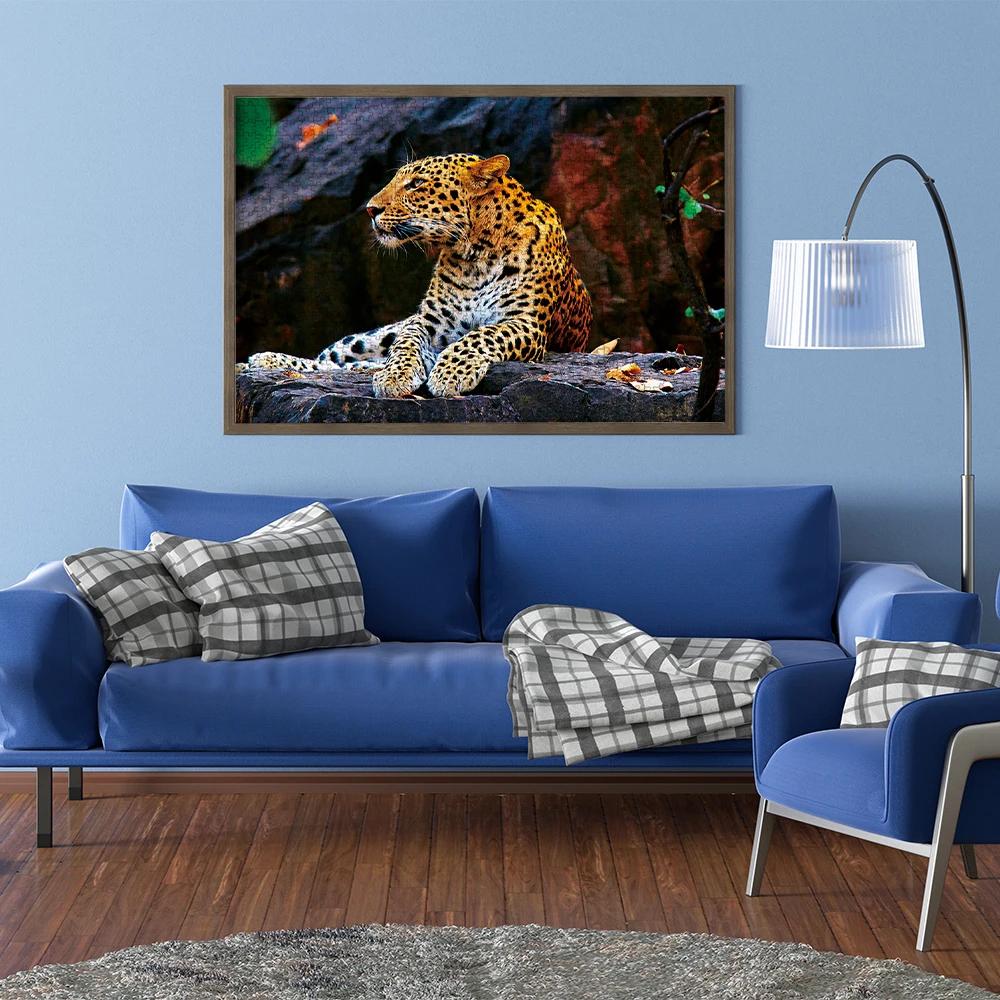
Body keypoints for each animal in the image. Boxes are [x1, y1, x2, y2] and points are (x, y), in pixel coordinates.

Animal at [240, 153, 593, 397]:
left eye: (417, 184)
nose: (370, 209)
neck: (476, 253)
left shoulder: (526, 323)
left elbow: (482, 335)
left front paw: (450, 373)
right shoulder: (428, 322)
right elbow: (406, 343)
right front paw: (394, 376)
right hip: (366, 338)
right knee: (331, 358)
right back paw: (264, 360)